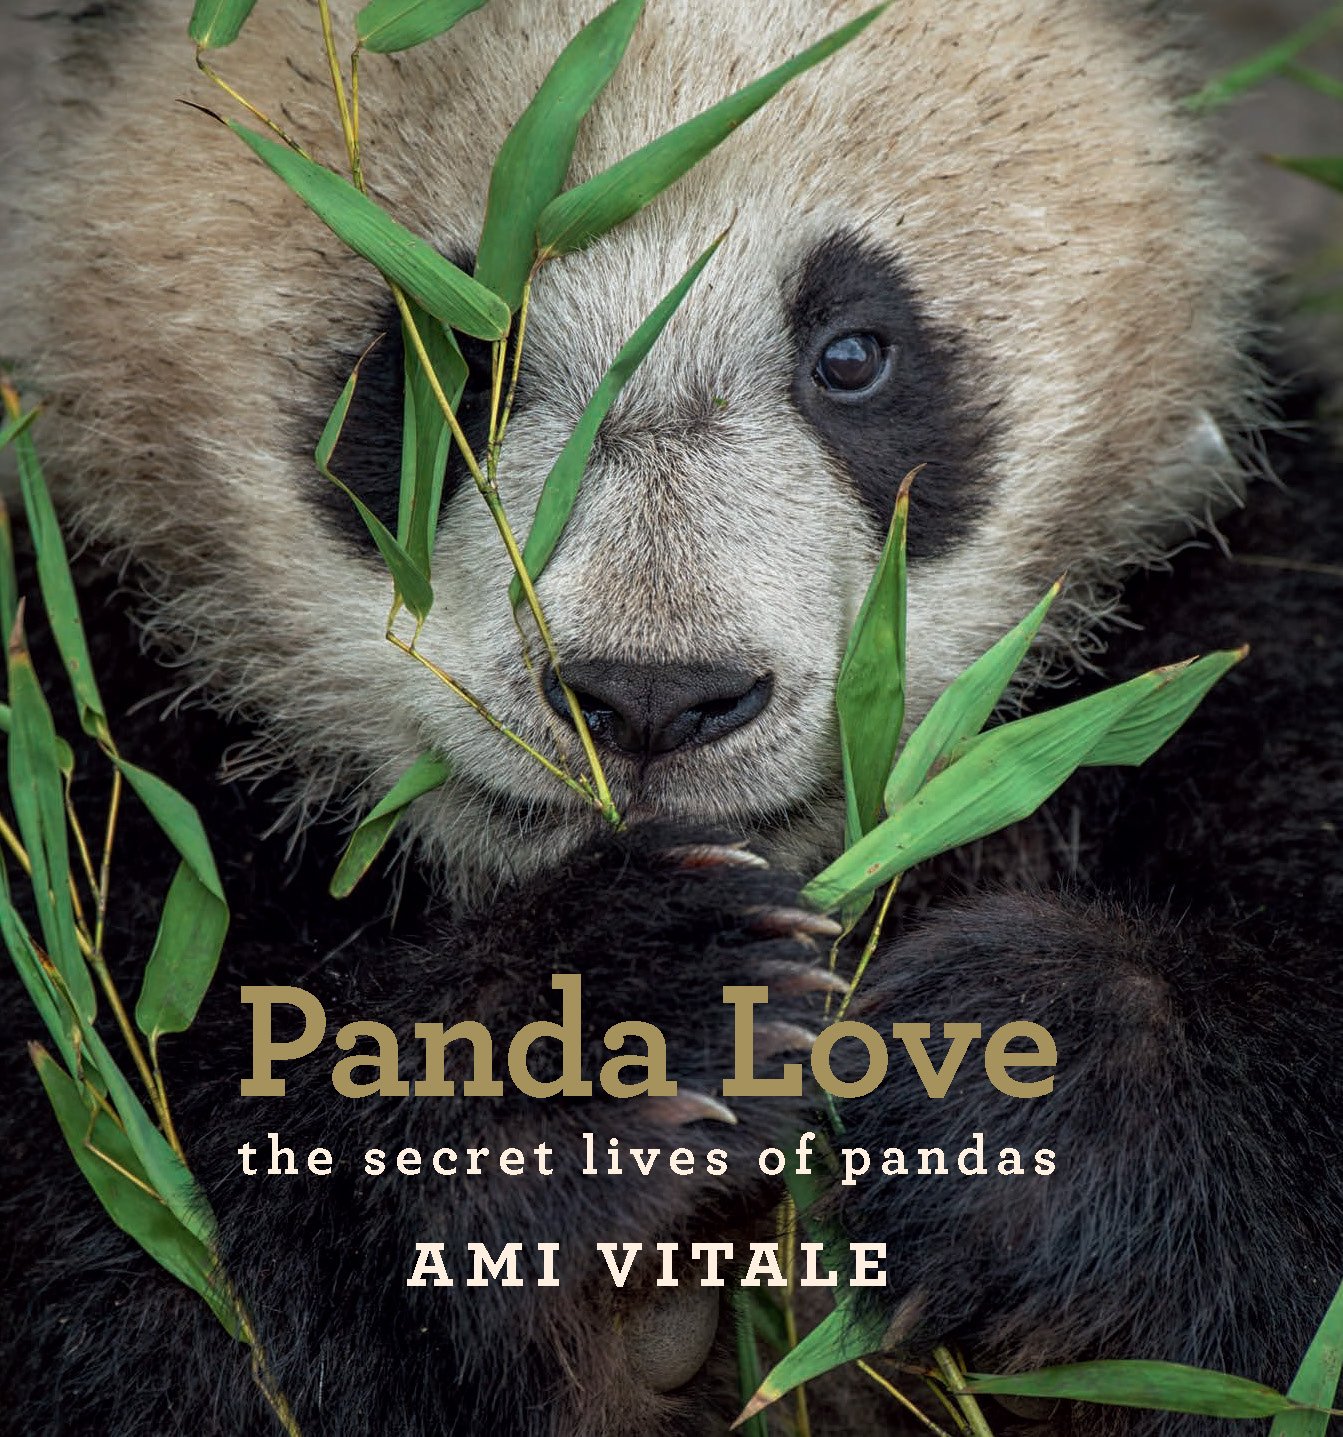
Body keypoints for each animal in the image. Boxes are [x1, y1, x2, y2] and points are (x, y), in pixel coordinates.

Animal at [1, 0, 1341, 1433]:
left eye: (851, 354)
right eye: (457, 356)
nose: (650, 698)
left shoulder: (1233, 611)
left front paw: (998, 1070)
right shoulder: (82, 712)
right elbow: (138, 1225)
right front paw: (620, 1020)